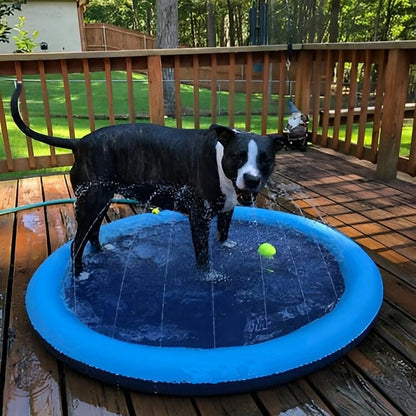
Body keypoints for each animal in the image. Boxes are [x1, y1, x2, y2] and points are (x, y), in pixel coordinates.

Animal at [10, 82, 286, 274]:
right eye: (238, 156)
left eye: (264, 159)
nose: (251, 180)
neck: (219, 158)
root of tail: (79, 143)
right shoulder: (198, 218)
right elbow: (203, 256)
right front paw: (209, 277)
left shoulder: (227, 209)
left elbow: (224, 233)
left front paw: (226, 246)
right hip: (92, 203)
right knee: (76, 244)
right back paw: (80, 276)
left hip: (100, 202)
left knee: (93, 233)